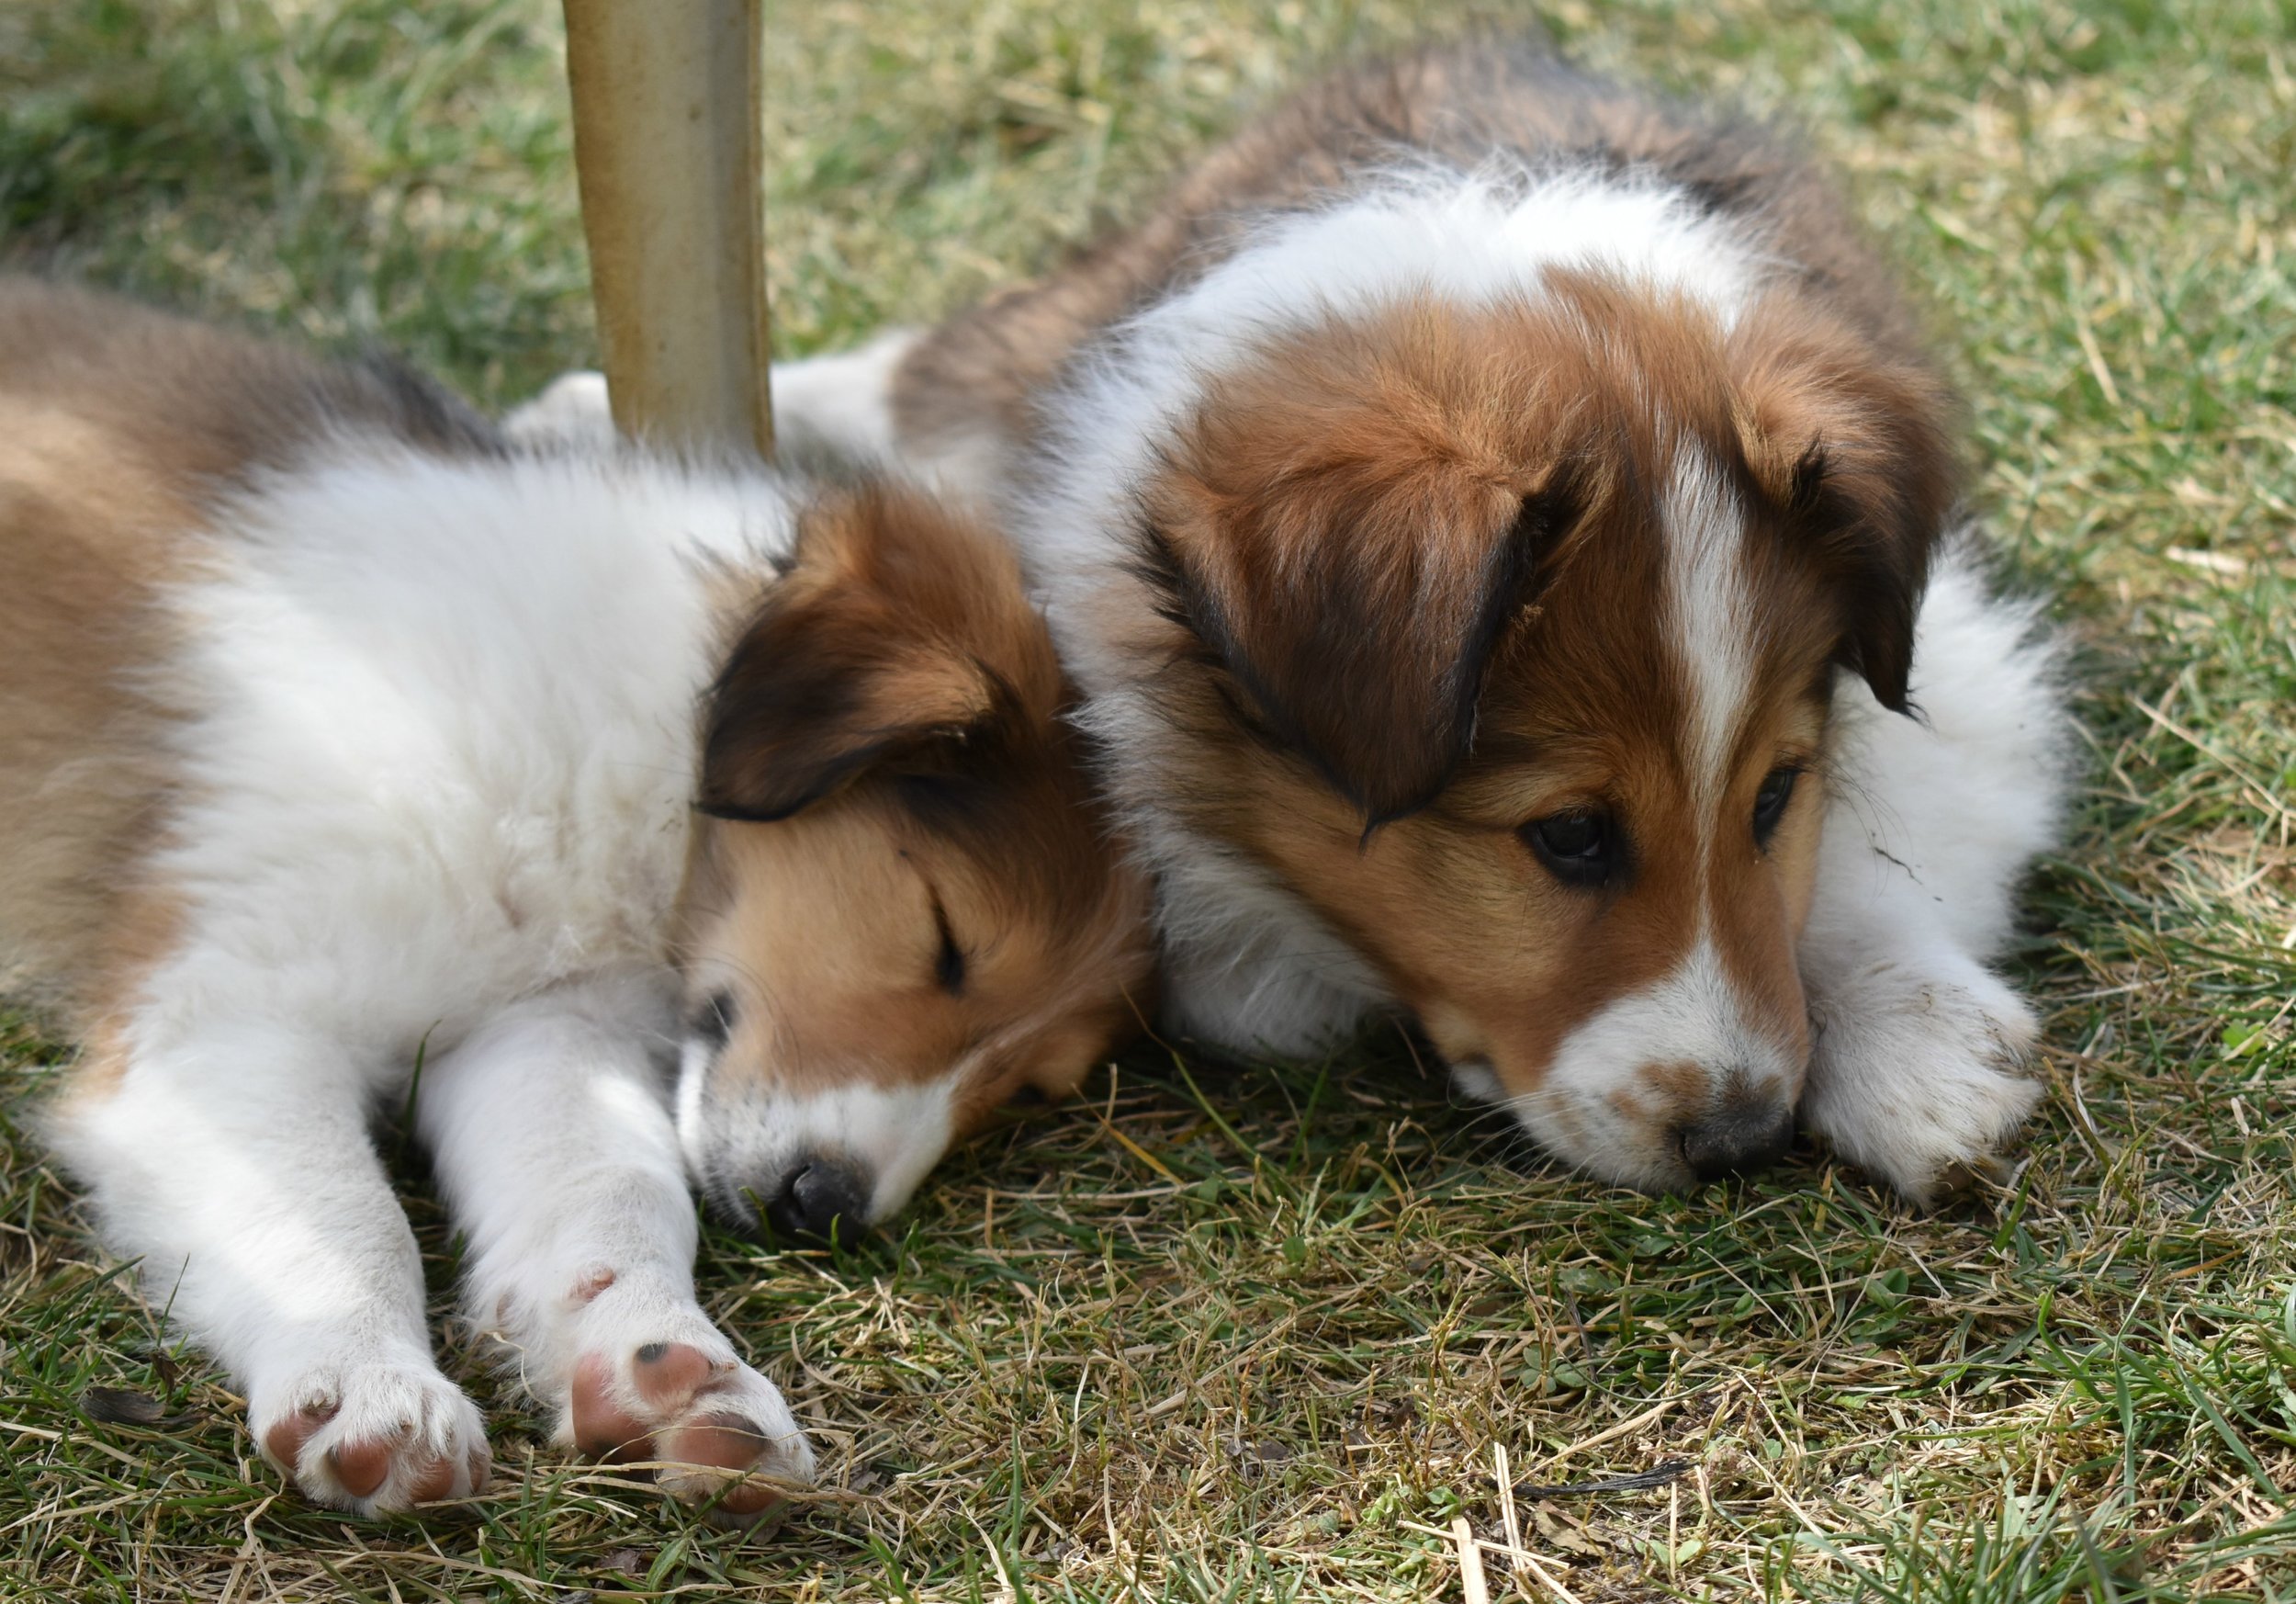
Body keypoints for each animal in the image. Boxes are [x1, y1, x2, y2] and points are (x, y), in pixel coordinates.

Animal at [0, 281, 1148, 1516]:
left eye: (1025, 1089)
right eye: (945, 937)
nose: (825, 1209)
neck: (613, 756)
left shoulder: (542, 1021)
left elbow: (615, 1186)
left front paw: (663, 1370)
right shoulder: (228, 1010)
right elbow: (335, 1208)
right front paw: (370, 1389)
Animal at [762, 40, 2076, 1194]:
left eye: (1774, 795)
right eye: (1570, 836)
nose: (1738, 1142)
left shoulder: (1960, 666)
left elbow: (1881, 821)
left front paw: (1913, 1046)